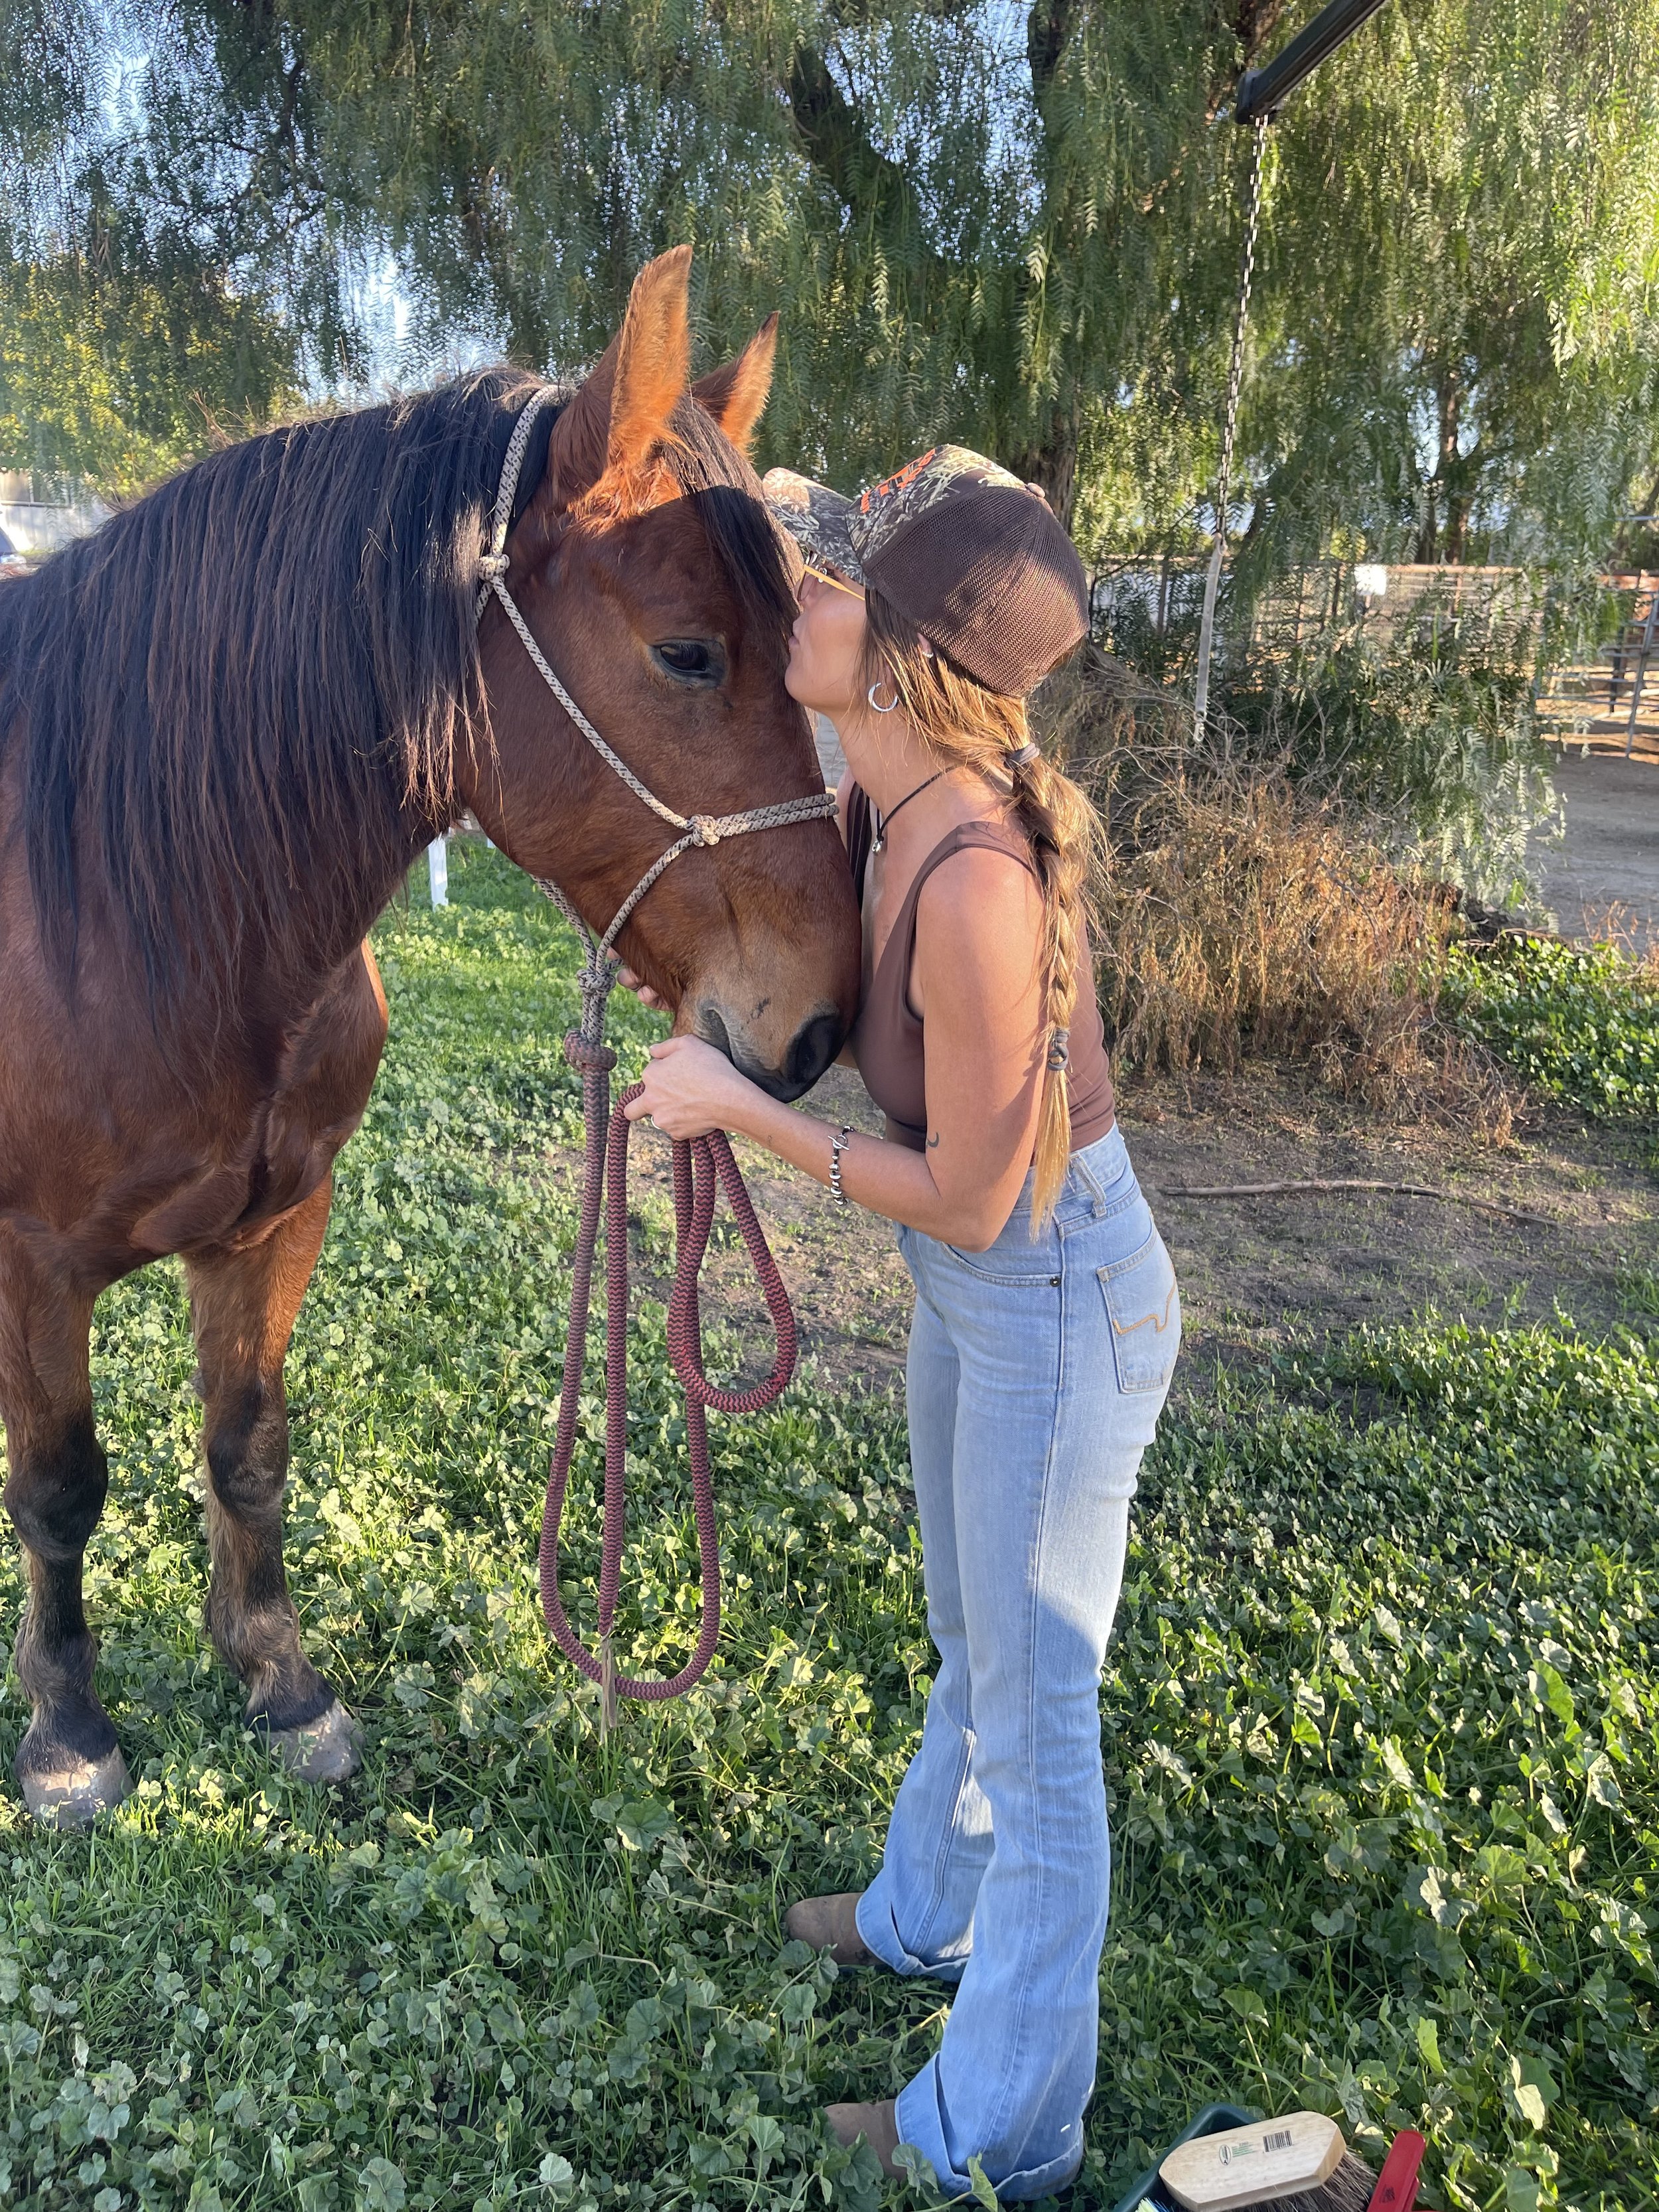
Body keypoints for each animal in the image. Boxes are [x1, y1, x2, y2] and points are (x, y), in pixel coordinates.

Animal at [0, 247, 862, 1823]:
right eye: (688, 651)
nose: (819, 1021)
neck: (133, 900)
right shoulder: (32, 1264)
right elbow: (58, 1490)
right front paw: (70, 1731)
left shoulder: (278, 1221)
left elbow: (248, 1448)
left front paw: (281, 1684)